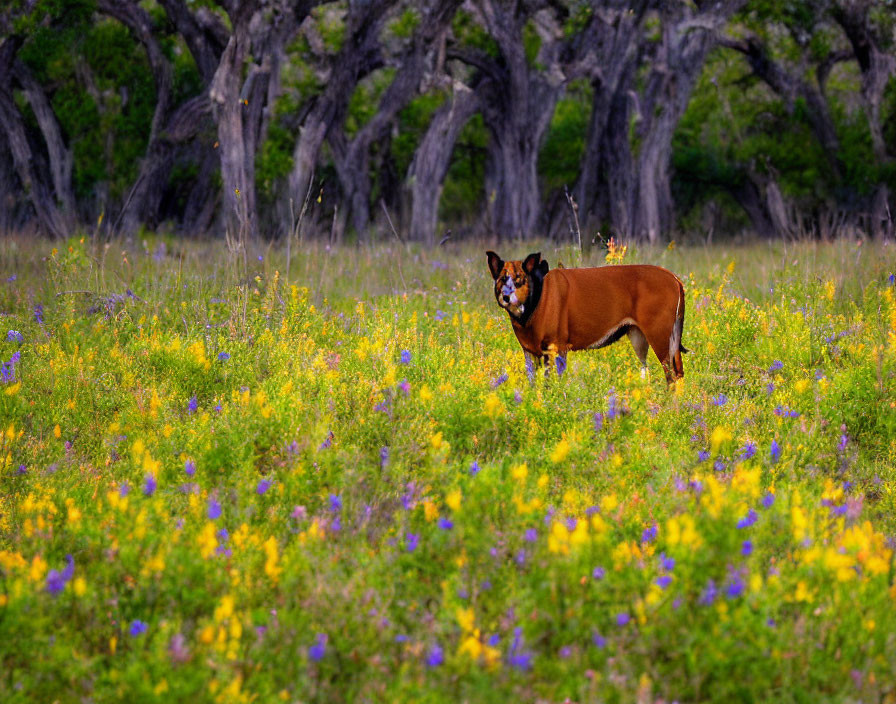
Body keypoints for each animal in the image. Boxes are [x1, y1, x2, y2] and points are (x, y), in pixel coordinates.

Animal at [490, 252, 688, 384]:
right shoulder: (529, 350)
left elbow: (552, 382)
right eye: (501, 278)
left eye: (519, 278)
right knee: (675, 372)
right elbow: (533, 382)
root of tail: (674, 278)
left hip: (659, 335)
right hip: (642, 336)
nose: (506, 297)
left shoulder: (557, 346)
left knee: (671, 375)